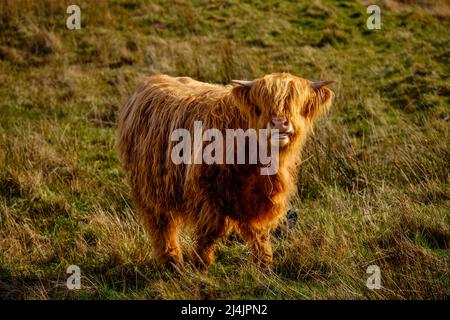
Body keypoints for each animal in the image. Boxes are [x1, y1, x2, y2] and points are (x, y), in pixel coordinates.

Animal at [117, 73, 334, 270]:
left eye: (295, 101)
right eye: (261, 105)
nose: (279, 123)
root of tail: (149, 82)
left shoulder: (260, 198)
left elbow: (259, 233)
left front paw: (264, 264)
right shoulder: (207, 193)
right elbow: (210, 230)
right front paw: (202, 262)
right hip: (149, 189)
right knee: (161, 225)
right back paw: (172, 261)